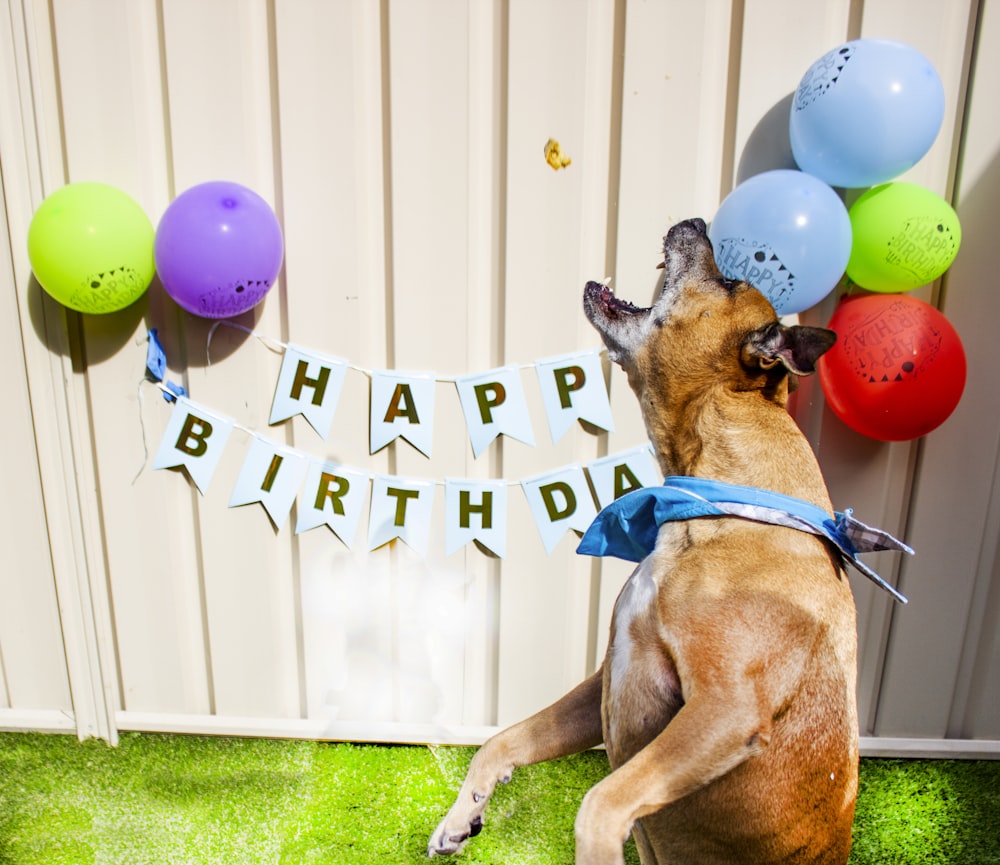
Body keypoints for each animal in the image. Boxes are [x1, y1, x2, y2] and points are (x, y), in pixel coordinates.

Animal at [434, 219, 864, 860]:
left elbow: (600, 803)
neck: (711, 502)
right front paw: (462, 815)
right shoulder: (603, 683)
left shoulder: (725, 708)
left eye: (731, 282)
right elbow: (500, 741)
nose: (697, 222)